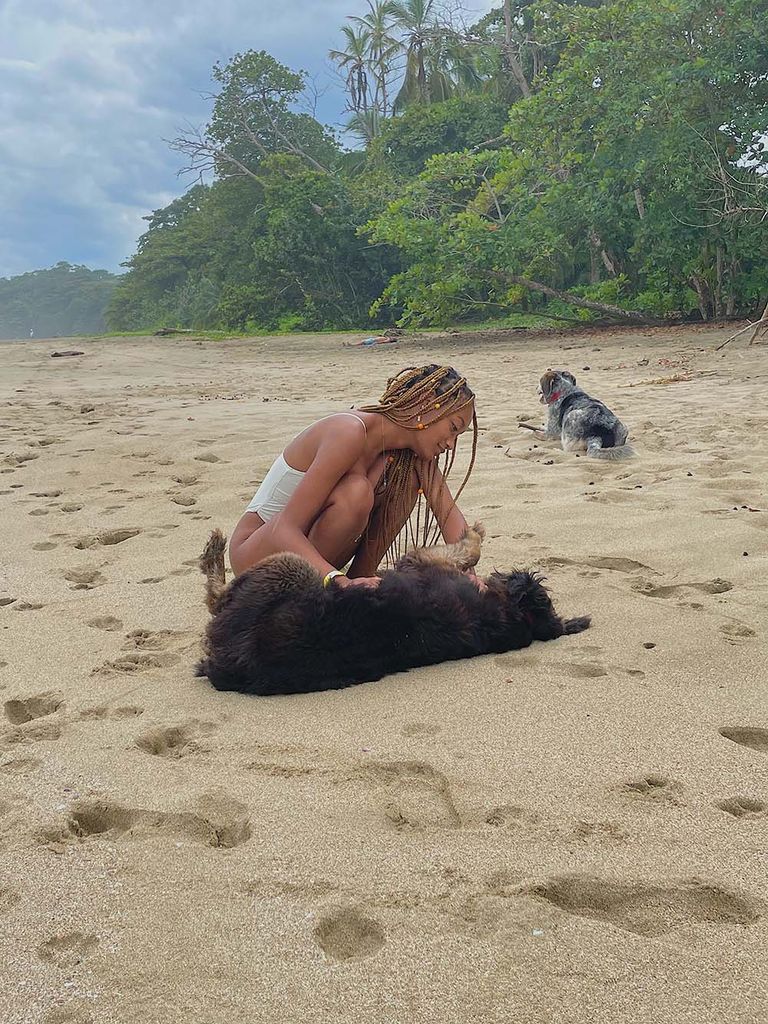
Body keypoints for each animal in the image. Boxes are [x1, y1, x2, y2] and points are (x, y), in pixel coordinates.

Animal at [196, 520, 589, 696]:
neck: (509, 615)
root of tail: (226, 668)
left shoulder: (418, 560)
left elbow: (470, 550)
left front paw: (474, 533)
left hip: (286, 566)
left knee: (215, 596)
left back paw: (214, 550)